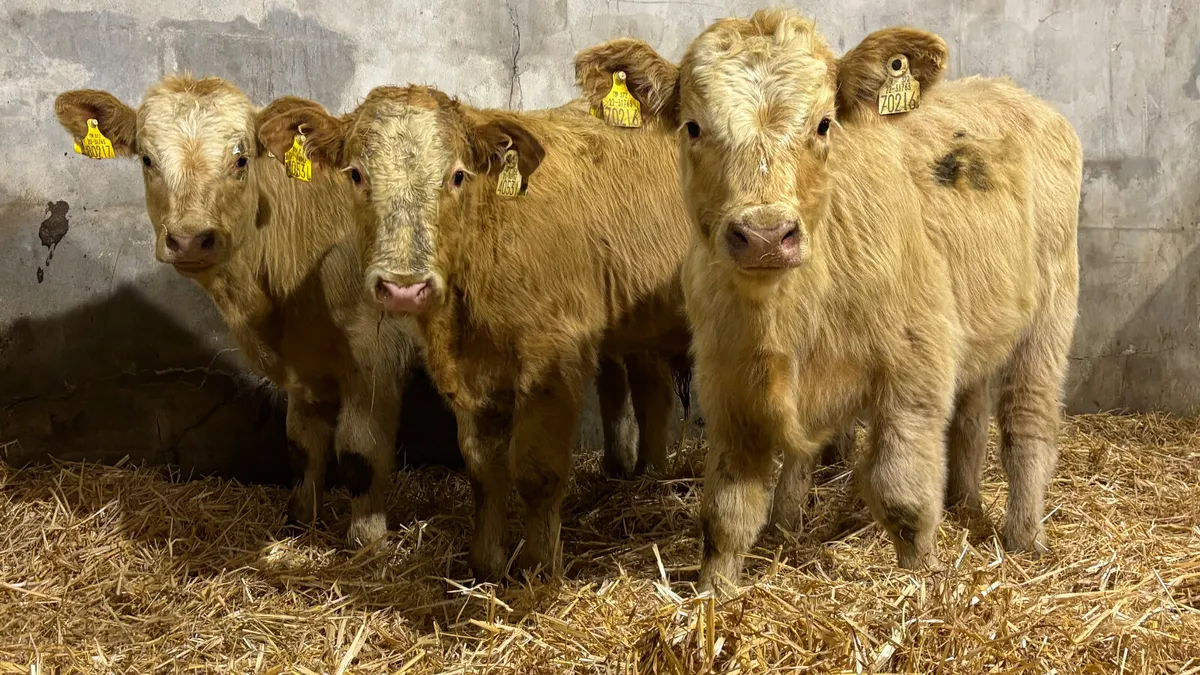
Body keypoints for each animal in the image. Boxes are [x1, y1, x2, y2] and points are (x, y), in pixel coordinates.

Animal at [52, 76, 471, 546]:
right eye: (147, 158)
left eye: (241, 159)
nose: (190, 238)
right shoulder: (306, 371)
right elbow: (302, 447)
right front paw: (298, 524)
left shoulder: (376, 354)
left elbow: (360, 455)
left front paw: (367, 544)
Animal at [255, 87, 701, 581]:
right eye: (355, 173)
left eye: (457, 175)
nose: (404, 287)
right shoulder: (469, 377)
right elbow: (483, 469)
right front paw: (486, 563)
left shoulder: (554, 360)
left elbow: (536, 470)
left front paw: (537, 568)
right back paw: (649, 475)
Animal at [575, 9, 1083, 595]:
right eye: (694, 127)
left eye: (823, 125)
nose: (766, 235)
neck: (788, 313)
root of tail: (1009, 90)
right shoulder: (727, 384)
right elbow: (726, 513)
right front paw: (714, 594)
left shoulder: (916, 373)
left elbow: (903, 497)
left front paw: (924, 586)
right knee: (971, 418)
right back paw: (961, 505)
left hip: (1051, 311)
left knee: (1027, 422)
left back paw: (1024, 538)